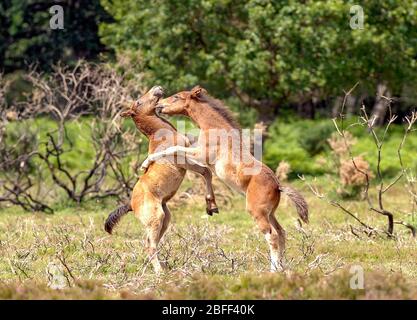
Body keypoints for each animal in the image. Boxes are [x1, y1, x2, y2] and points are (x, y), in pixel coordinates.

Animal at [104, 86, 218, 274]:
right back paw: (160, 271)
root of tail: (131, 204)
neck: (160, 135)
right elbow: (204, 166)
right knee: (149, 245)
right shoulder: (182, 158)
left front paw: (212, 207)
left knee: (151, 243)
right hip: (156, 218)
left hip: (164, 219)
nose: (157, 88)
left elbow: (206, 172)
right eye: (138, 102)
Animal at [141, 86, 308, 272]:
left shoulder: (199, 154)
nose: (159, 105)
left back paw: (273, 270)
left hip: (257, 212)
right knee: (281, 232)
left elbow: (173, 149)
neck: (215, 129)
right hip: (270, 213)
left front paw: (145, 163)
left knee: (272, 236)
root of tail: (278, 185)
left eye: (177, 96)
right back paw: (281, 267)